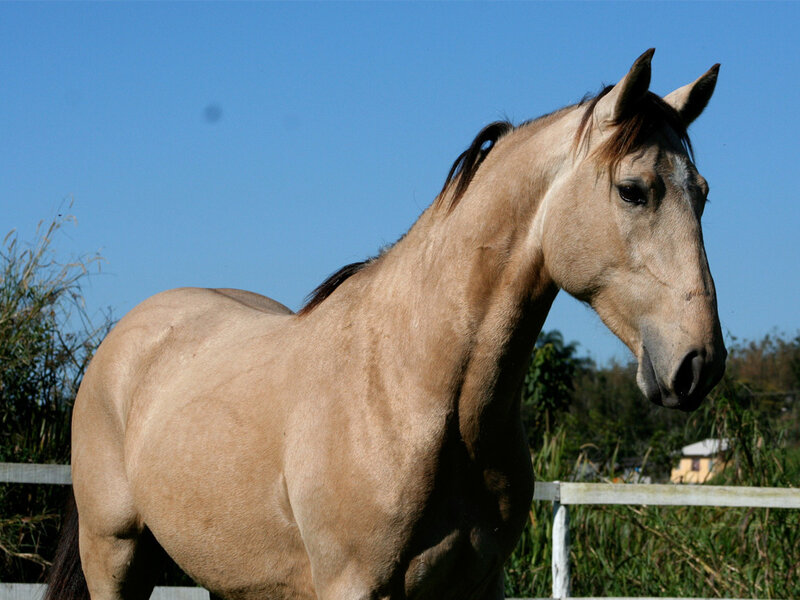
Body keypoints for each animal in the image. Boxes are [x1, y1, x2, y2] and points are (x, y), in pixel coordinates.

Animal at [46, 49, 726, 600]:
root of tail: (120, 342)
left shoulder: (478, 586)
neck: (413, 387)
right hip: (116, 556)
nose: (700, 364)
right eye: (633, 190)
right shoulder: (354, 585)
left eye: (703, 193)